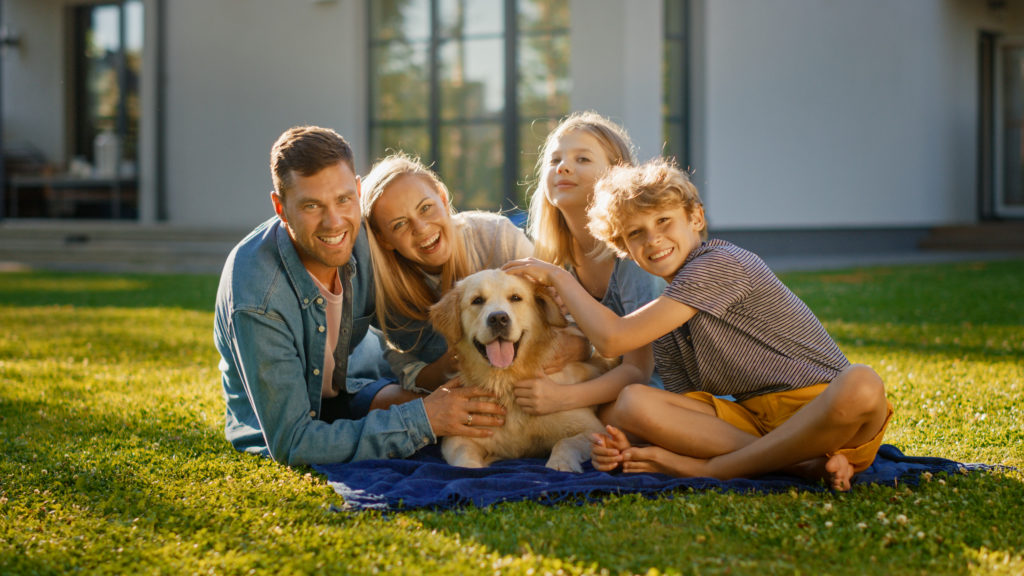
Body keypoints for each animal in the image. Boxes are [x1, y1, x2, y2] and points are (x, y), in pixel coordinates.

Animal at [428, 266, 610, 469]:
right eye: (477, 300)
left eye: (515, 298)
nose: (498, 318)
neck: (508, 381)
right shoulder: (459, 436)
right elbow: (464, 459)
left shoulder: (594, 429)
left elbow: (565, 443)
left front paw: (560, 464)